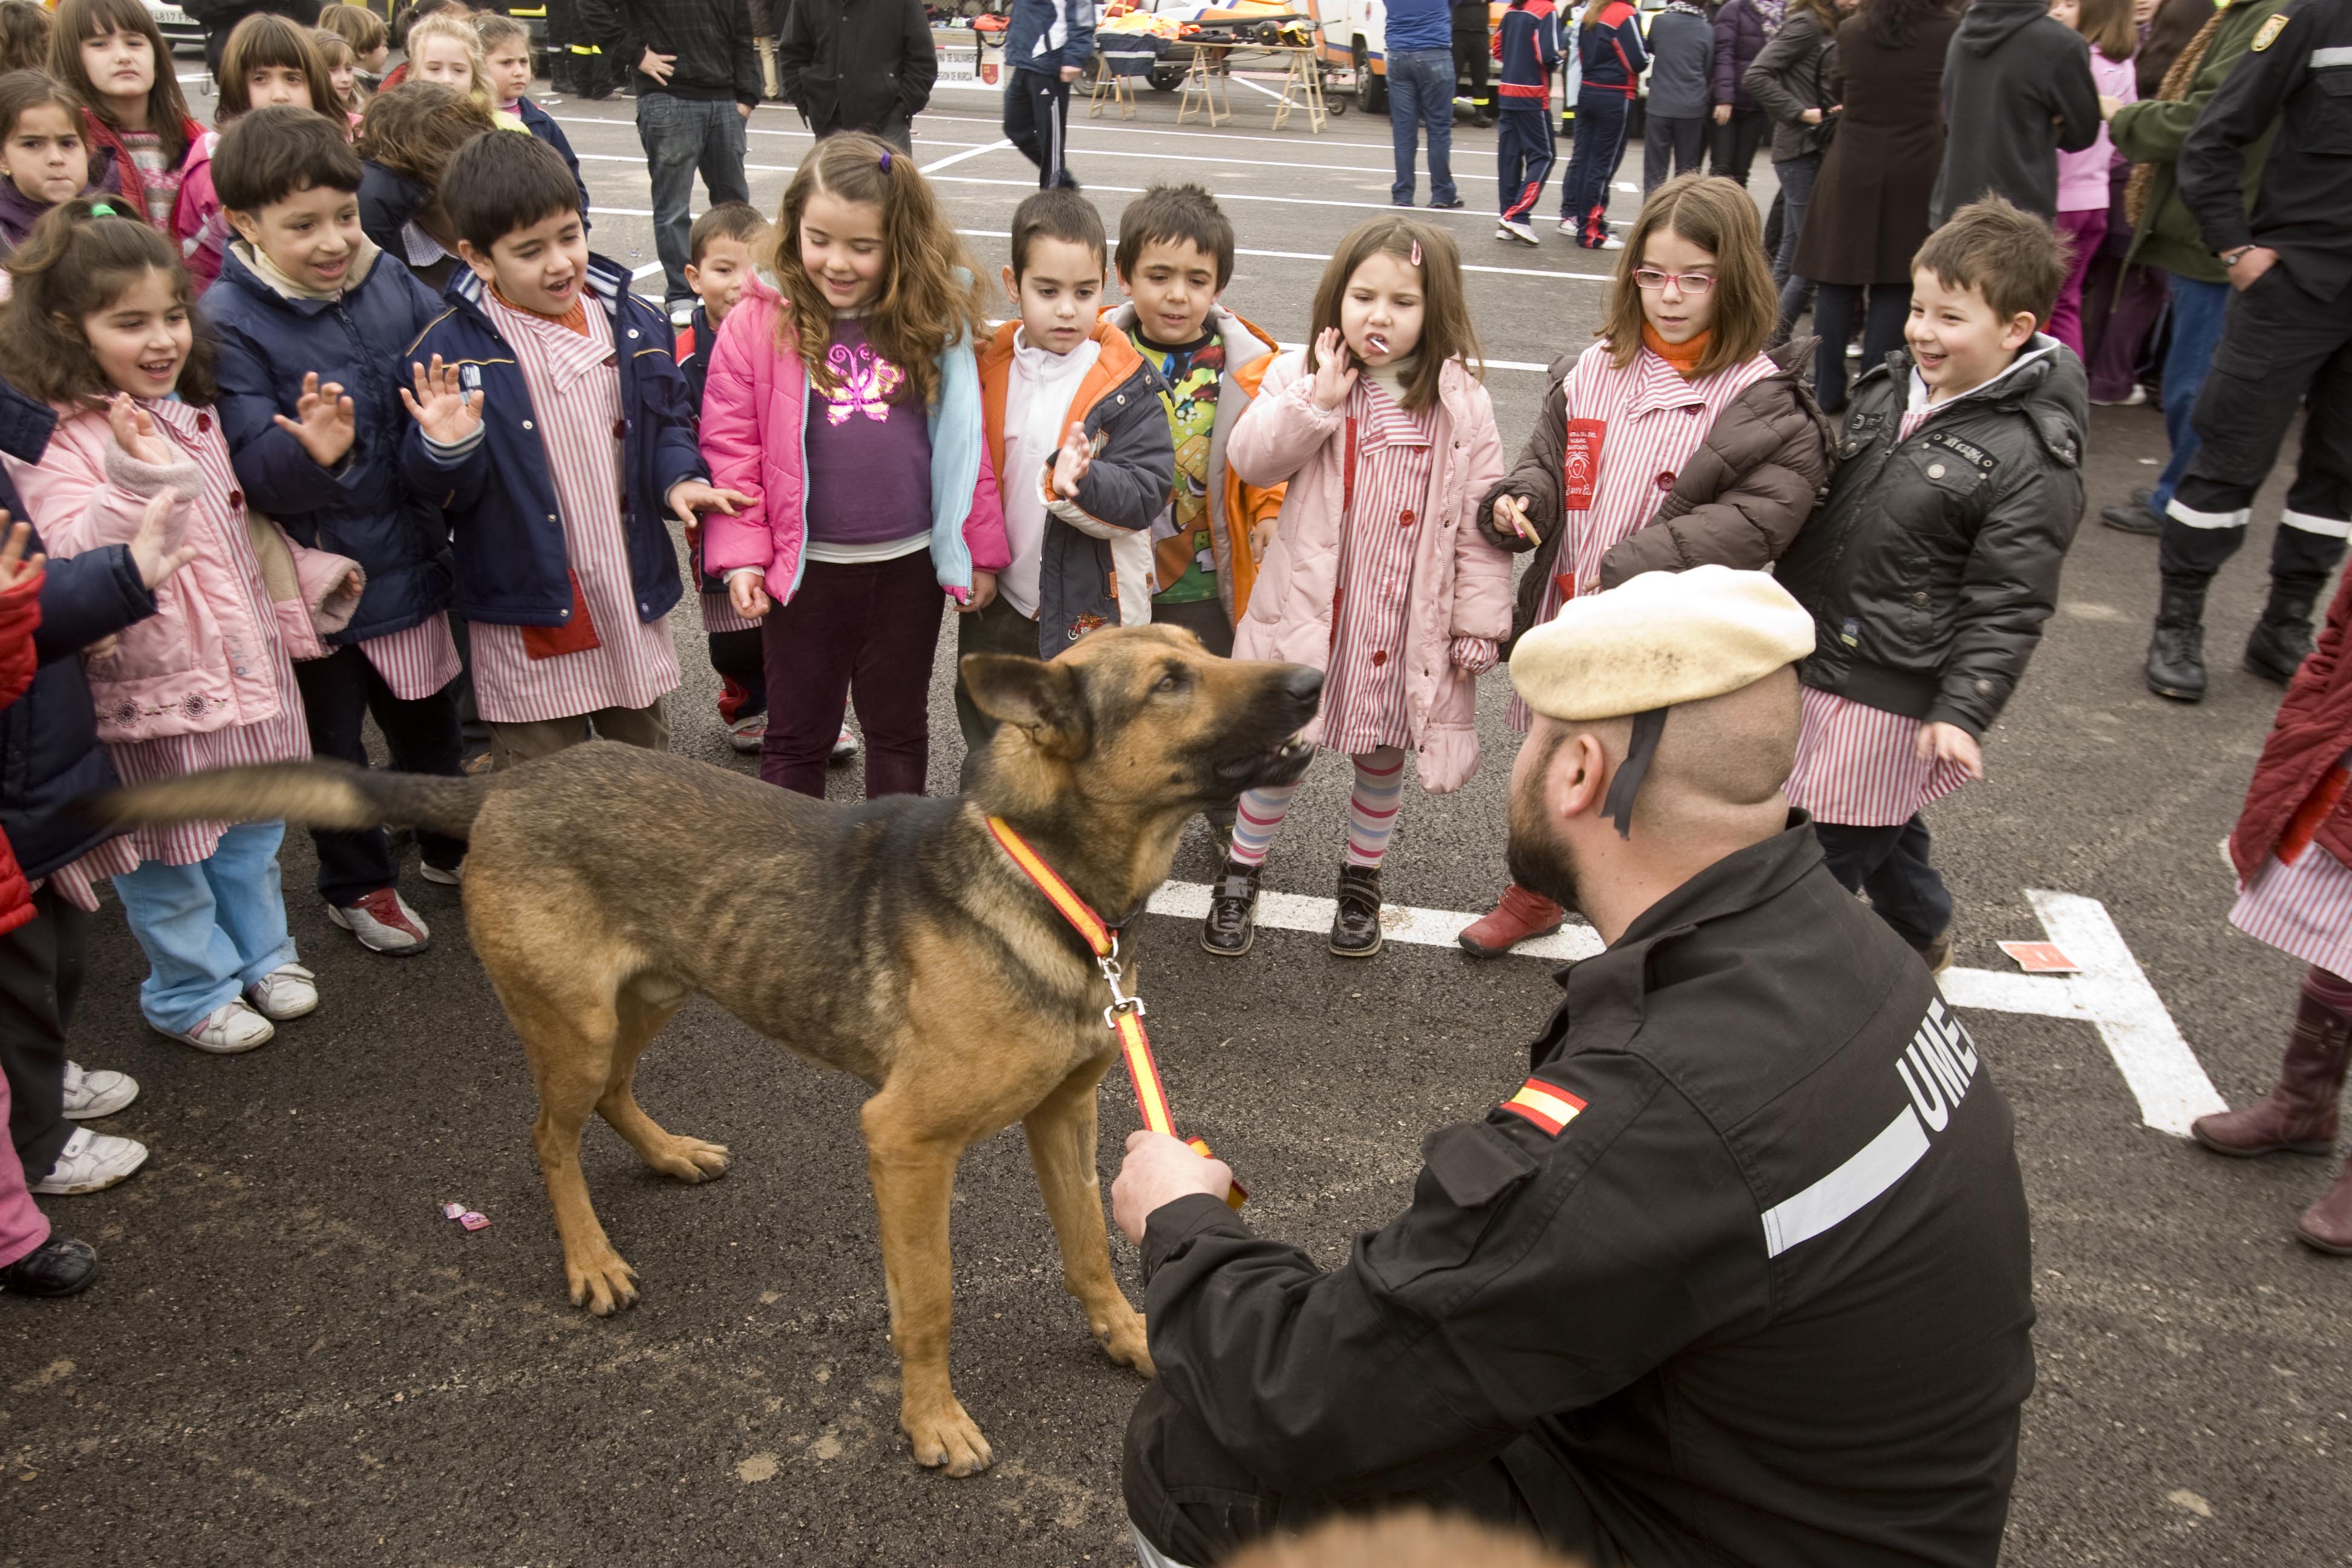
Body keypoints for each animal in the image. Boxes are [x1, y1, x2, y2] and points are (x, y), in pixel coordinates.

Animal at [92, 626, 1324, 1477]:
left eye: (1200, 652)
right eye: (1167, 683)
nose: (1313, 679)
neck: (1047, 876)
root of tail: (507, 782)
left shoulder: (1064, 1115)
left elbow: (1087, 1251)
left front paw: (1130, 1336)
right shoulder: (906, 1145)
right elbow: (928, 1301)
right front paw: (931, 1421)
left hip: (653, 993)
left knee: (612, 1099)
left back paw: (669, 1153)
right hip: (580, 1023)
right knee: (548, 1138)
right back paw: (590, 1259)